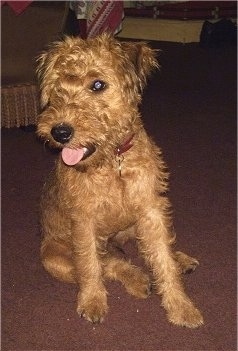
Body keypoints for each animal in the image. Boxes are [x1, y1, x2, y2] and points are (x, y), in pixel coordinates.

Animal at [36, 33, 203, 330]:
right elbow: (90, 266)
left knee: (144, 248)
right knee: (108, 263)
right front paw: (92, 302)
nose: (60, 132)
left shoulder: (151, 211)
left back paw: (179, 260)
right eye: (56, 87)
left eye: (98, 84)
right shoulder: (84, 220)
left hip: (134, 225)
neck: (113, 162)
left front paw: (181, 307)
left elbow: (163, 259)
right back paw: (138, 280)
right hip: (53, 258)